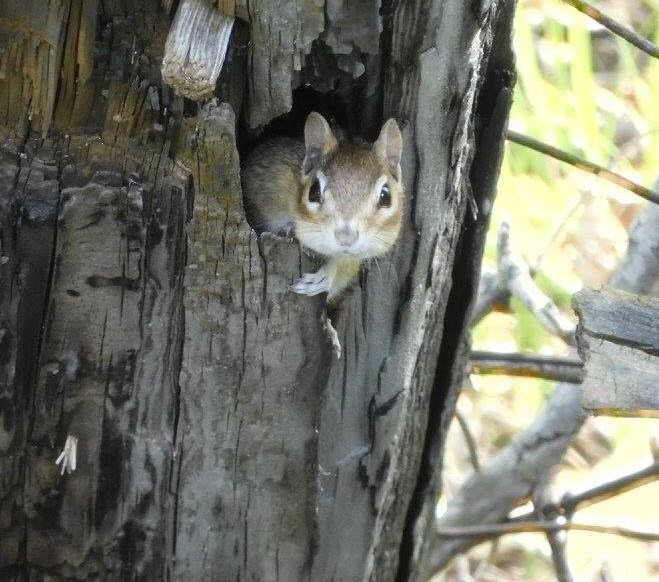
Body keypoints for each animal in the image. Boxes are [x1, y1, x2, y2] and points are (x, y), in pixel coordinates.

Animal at [242, 112, 404, 303]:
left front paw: (323, 279)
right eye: (314, 191)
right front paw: (288, 229)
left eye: (386, 196)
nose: (346, 237)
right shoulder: (272, 178)